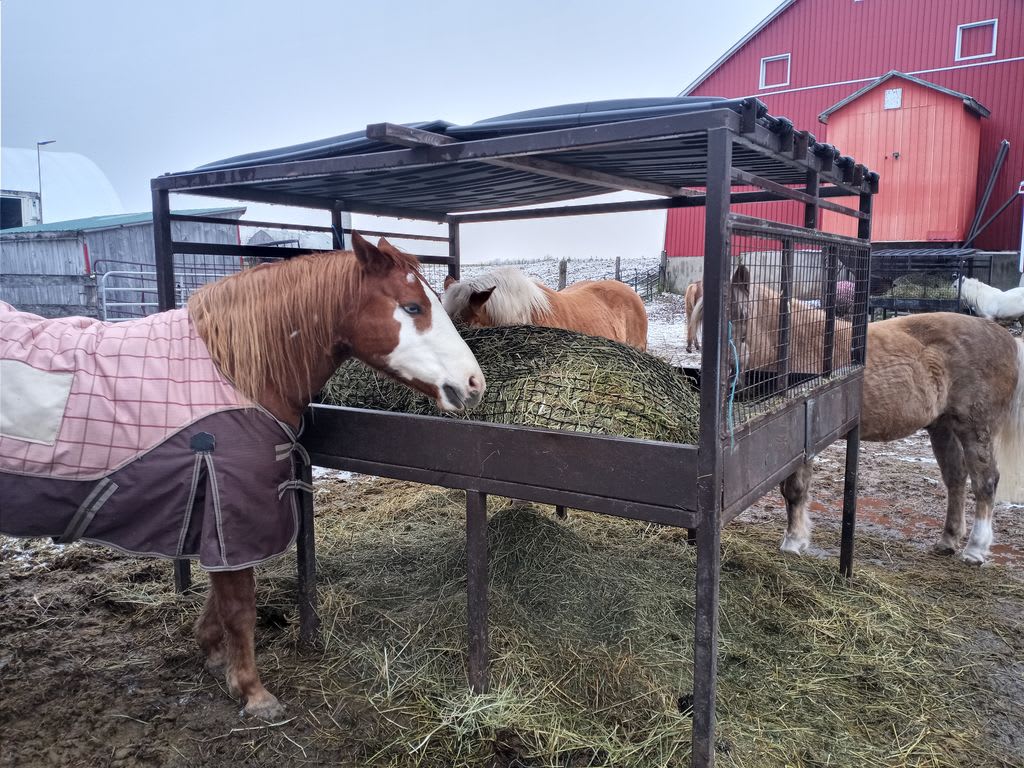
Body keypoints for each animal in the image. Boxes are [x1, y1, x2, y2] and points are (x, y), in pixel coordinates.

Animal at [0, 234, 487, 720]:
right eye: (412, 307)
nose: (474, 383)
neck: (234, 372)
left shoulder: (215, 518)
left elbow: (218, 597)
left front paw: (215, 656)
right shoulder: (230, 512)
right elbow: (239, 606)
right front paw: (253, 691)